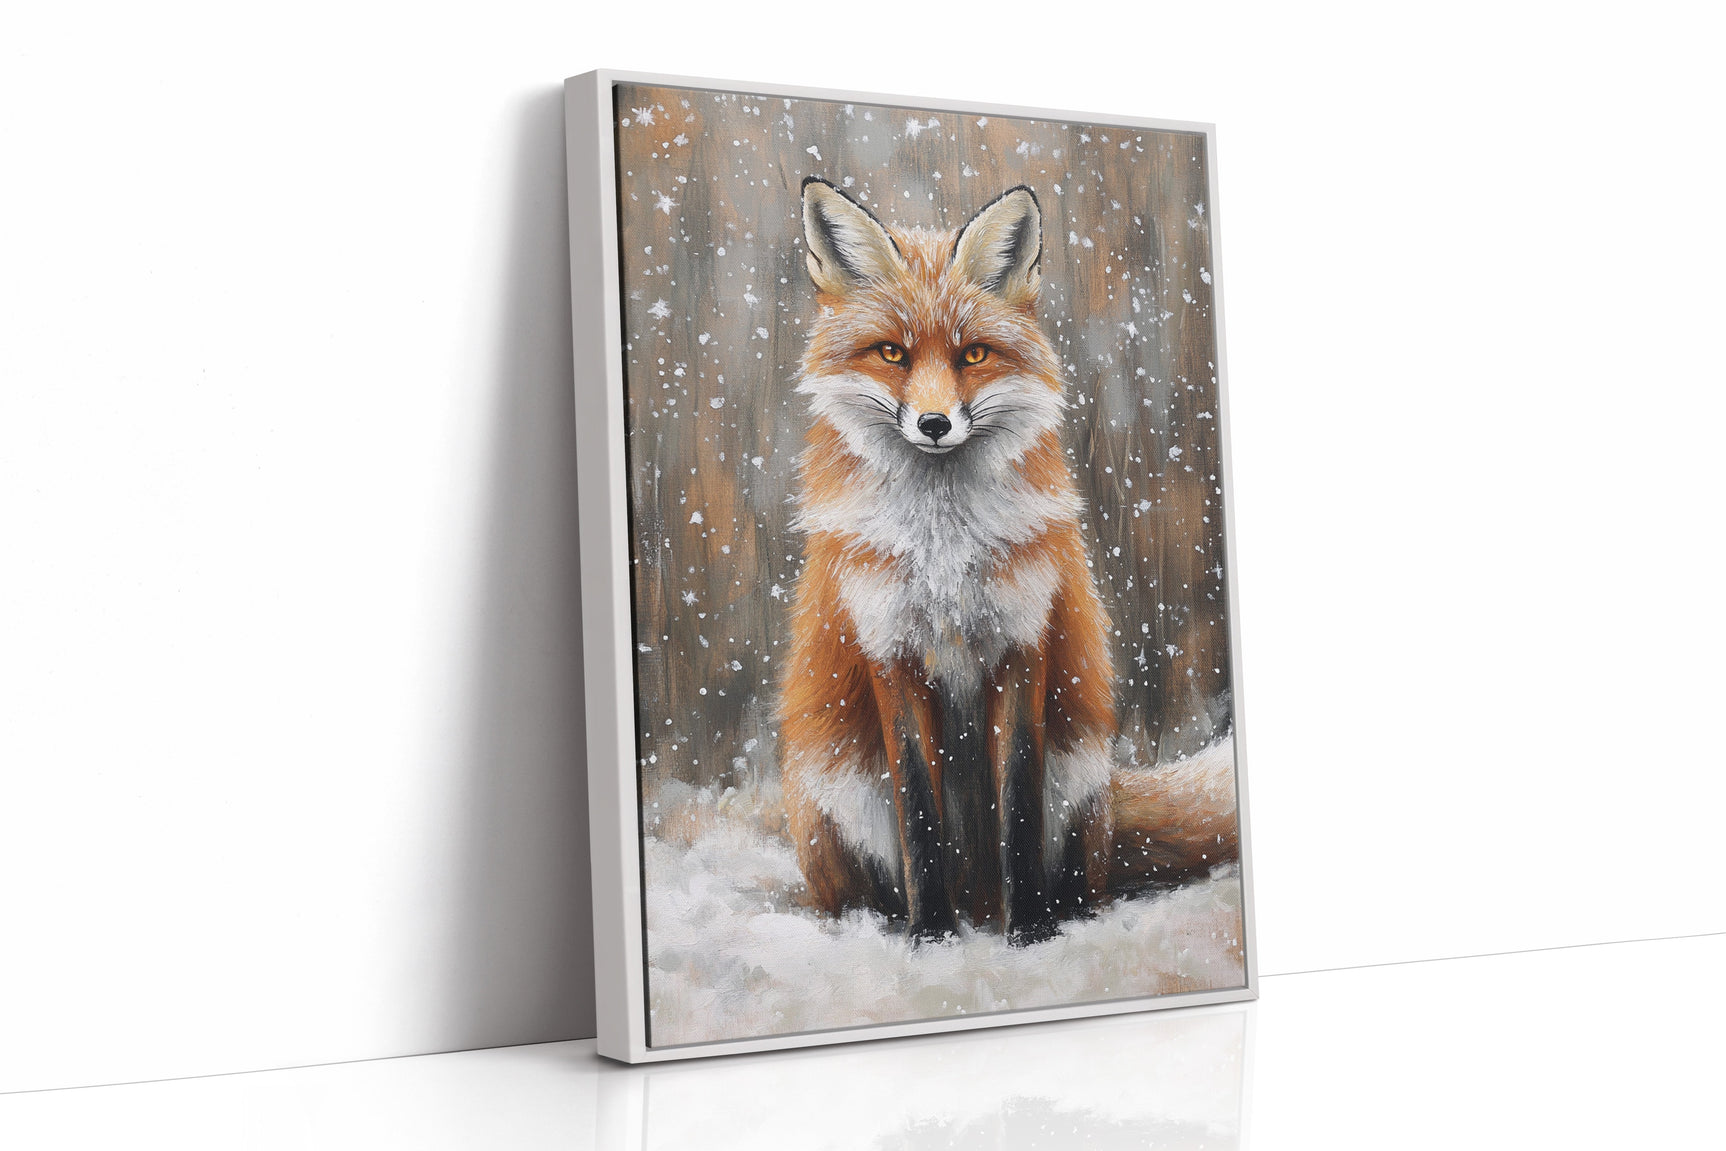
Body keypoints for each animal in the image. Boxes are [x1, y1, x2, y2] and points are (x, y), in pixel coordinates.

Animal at [778, 177, 1237, 944]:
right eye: (893, 353)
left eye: (973, 355)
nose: (935, 424)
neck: (944, 551)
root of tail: (978, 899)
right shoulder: (889, 651)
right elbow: (920, 815)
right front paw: (930, 938)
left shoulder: (1025, 640)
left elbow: (1017, 806)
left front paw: (1033, 935)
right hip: (834, 794)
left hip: (1078, 777)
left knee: (1081, 874)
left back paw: (1049, 914)